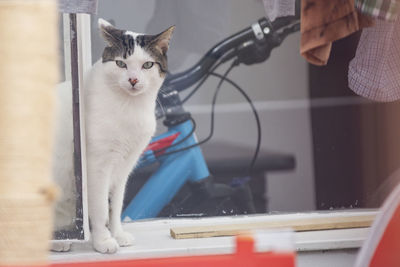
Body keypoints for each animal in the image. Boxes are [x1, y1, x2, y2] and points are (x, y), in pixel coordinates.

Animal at [52, 19, 173, 255]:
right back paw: (59, 241)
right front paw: (103, 241)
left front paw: (117, 234)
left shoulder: (124, 166)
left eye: (147, 65)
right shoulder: (97, 165)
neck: (130, 107)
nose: (133, 79)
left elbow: (115, 205)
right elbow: (100, 206)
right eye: (121, 64)